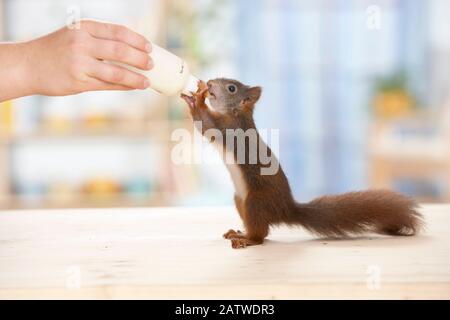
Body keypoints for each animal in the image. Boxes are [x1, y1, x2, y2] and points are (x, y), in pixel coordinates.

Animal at [180, 79, 426, 249]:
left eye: (231, 88)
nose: (210, 83)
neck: (236, 112)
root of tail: (286, 209)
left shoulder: (228, 128)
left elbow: (206, 123)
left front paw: (196, 100)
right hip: (239, 199)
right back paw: (240, 233)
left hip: (256, 202)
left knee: (261, 235)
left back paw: (247, 240)